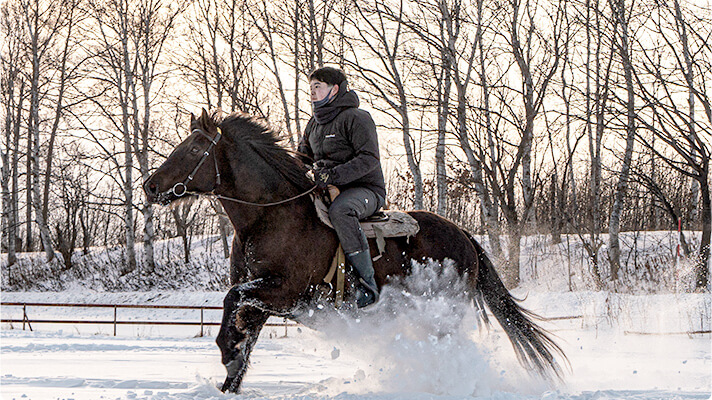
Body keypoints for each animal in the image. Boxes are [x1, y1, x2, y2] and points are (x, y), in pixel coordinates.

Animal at [143, 108, 568, 394]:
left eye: (194, 147)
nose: (151, 186)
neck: (271, 217)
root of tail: (464, 235)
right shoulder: (264, 300)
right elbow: (243, 337)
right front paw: (230, 370)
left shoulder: (286, 293)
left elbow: (233, 302)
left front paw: (224, 349)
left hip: (442, 312)